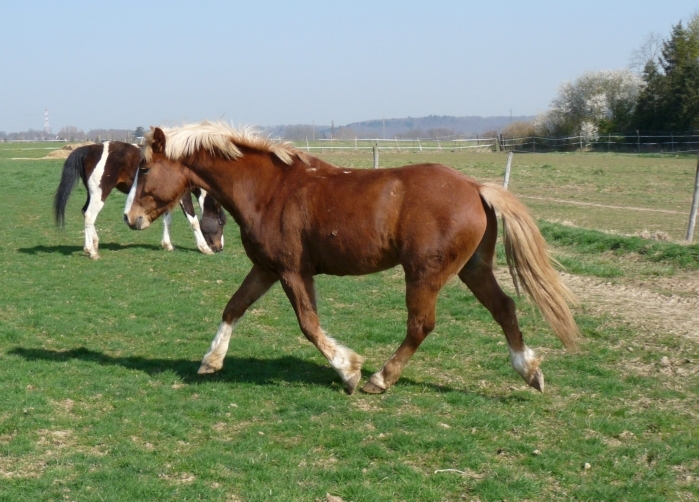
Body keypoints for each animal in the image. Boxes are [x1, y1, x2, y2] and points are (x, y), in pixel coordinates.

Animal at [54, 141, 227, 259]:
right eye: (220, 222)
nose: (220, 248)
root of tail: (91, 148)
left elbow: (167, 220)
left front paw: (167, 245)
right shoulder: (184, 196)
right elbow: (194, 221)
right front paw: (204, 248)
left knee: (85, 212)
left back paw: (92, 245)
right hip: (99, 193)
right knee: (90, 215)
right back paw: (91, 251)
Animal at [124, 122, 579, 395]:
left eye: (144, 169)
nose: (130, 218)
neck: (268, 190)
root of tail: (475, 187)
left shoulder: (292, 271)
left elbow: (309, 325)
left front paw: (350, 370)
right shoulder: (267, 268)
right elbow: (233, 307)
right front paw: (211, 361)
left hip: (424, 274)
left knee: (421, 325)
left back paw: (381, 378)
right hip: (473, 269)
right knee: (505, 308)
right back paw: (530, 371)